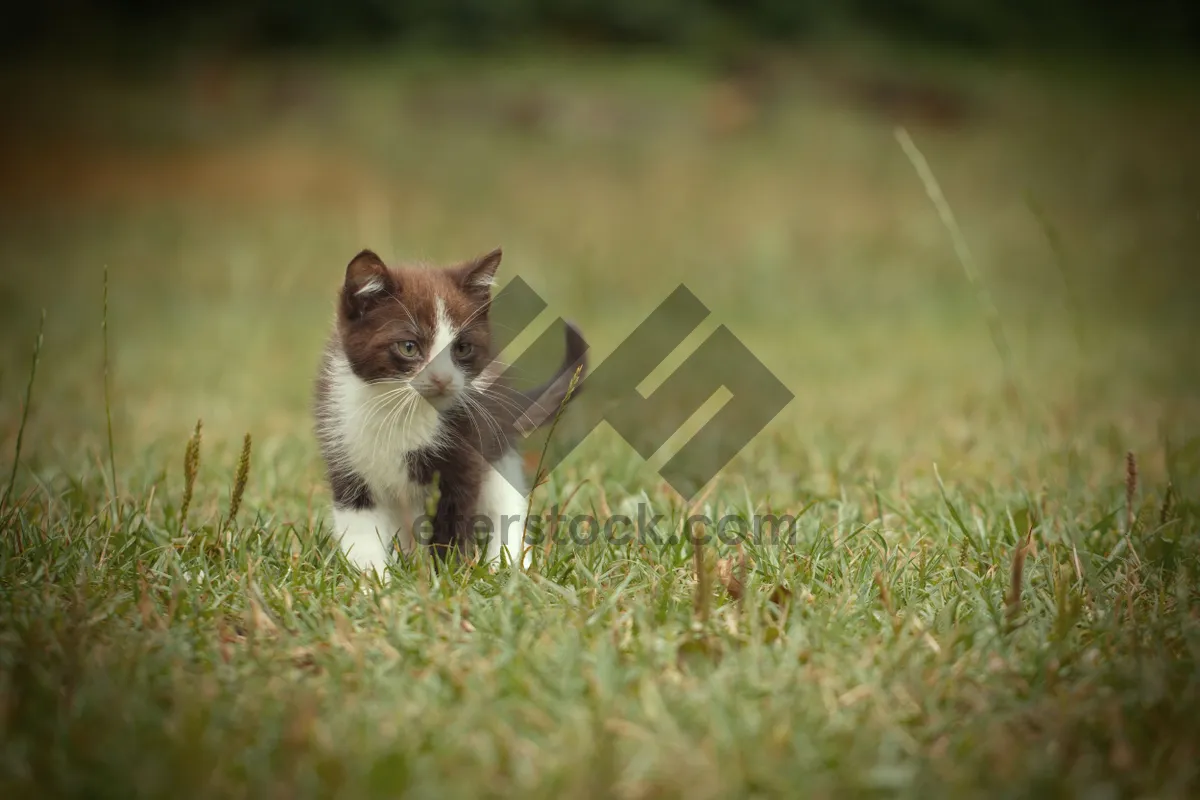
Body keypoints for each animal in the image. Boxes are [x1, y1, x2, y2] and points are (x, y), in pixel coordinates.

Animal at [314, 248, 585, 575]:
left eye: (462, 348)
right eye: (408, 347)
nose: (442, 379)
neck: (401, 411)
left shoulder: (465, 449)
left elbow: (454, 520)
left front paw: (448, 575)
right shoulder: (344, 450)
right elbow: (360, 528)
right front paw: (372, 580)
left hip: (497, 444)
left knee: (505, 504)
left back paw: (507, 566)